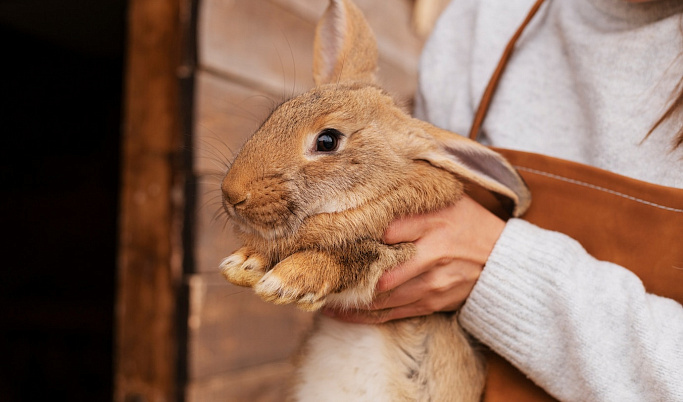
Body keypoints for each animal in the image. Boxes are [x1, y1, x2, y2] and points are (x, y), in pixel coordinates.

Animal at [216, 0, 532, 398]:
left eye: (327, 140)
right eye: (274, 116)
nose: (232, 193)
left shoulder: (398, 254)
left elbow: (356, 255)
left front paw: (289, 280)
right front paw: (243, 264)